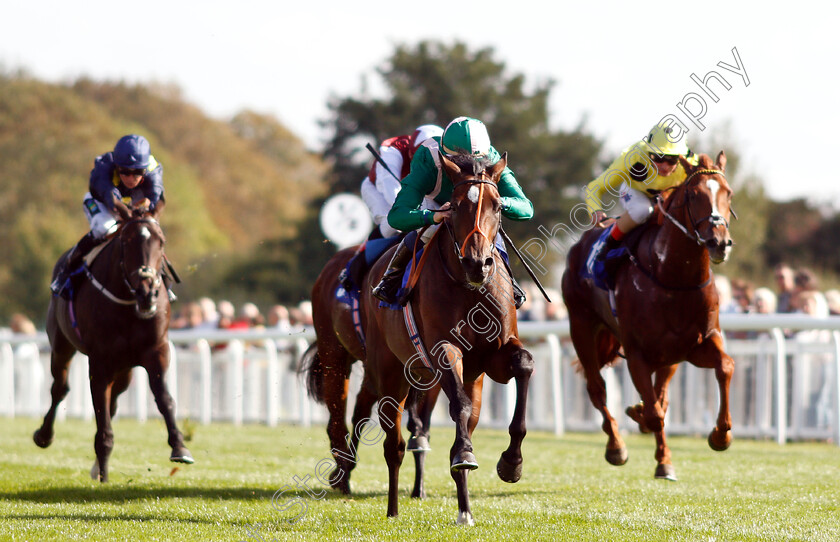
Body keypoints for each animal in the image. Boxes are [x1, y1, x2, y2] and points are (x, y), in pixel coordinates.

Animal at [34, 200, 192, 484]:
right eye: (127, 241)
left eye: (161, 241)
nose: (147, 291)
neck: (129, 303)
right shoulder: (100, 362)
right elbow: (101, 416)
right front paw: (104, 476)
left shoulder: (157, 351)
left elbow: (164, 398)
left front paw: (180, 447)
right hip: (62, 345)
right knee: (59, 388)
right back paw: (44, 436)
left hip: (125, 368)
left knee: (114, 400)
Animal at [564, 152, 736, 480]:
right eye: (694, 195)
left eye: (728, 193)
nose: (719, 242)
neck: (673, 277)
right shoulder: (637, 353)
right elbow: (654, 414)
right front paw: (638, 418)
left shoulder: (698, 343)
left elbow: (725, 367)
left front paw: (721, 435)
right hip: (581, 326)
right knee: (597, 389)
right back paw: (617, 446)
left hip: (669, 357)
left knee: (661, 395)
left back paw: (662, 458)